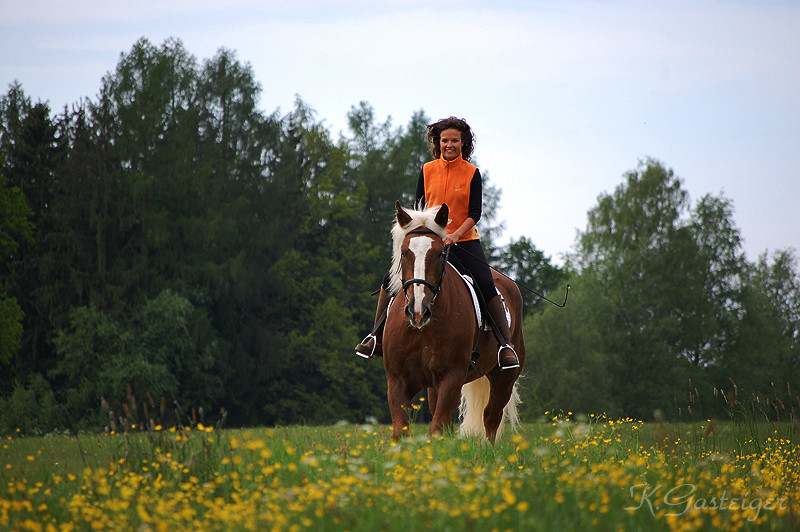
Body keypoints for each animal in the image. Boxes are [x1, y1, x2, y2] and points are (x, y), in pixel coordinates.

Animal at [382, 202, 524, 442]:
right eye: (404, 253)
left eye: (440, 254)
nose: (418, 312)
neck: (424, 329)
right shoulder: (397, 380)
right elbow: (401, 431)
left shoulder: (452, 378)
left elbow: (437, 429)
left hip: (504, 376)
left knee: (491, 417)